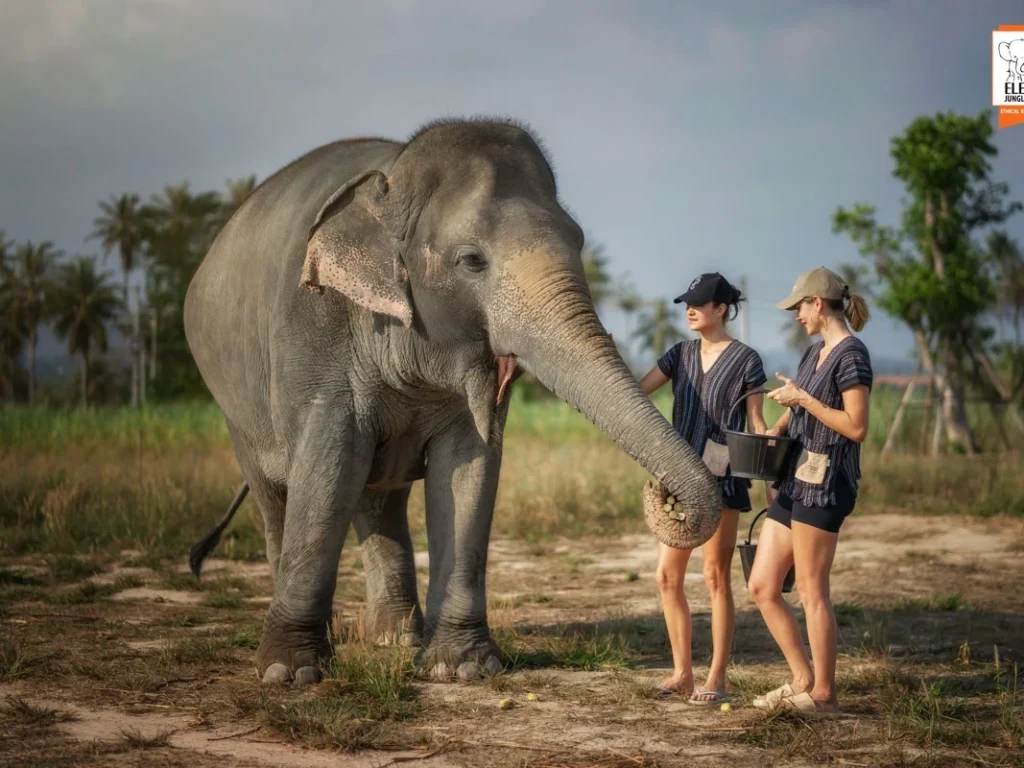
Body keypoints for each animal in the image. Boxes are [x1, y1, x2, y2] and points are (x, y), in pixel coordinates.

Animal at [182, 117, 720, 685]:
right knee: (280, 498)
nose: (667, 494)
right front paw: (292, 674)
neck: (392, 181)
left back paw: (396, 638)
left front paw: (463, 668)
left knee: (377, 497)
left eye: (578, 240)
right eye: (471, 261)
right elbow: (328, 467)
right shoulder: (313, 329)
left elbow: (468, 468)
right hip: (236, 408)